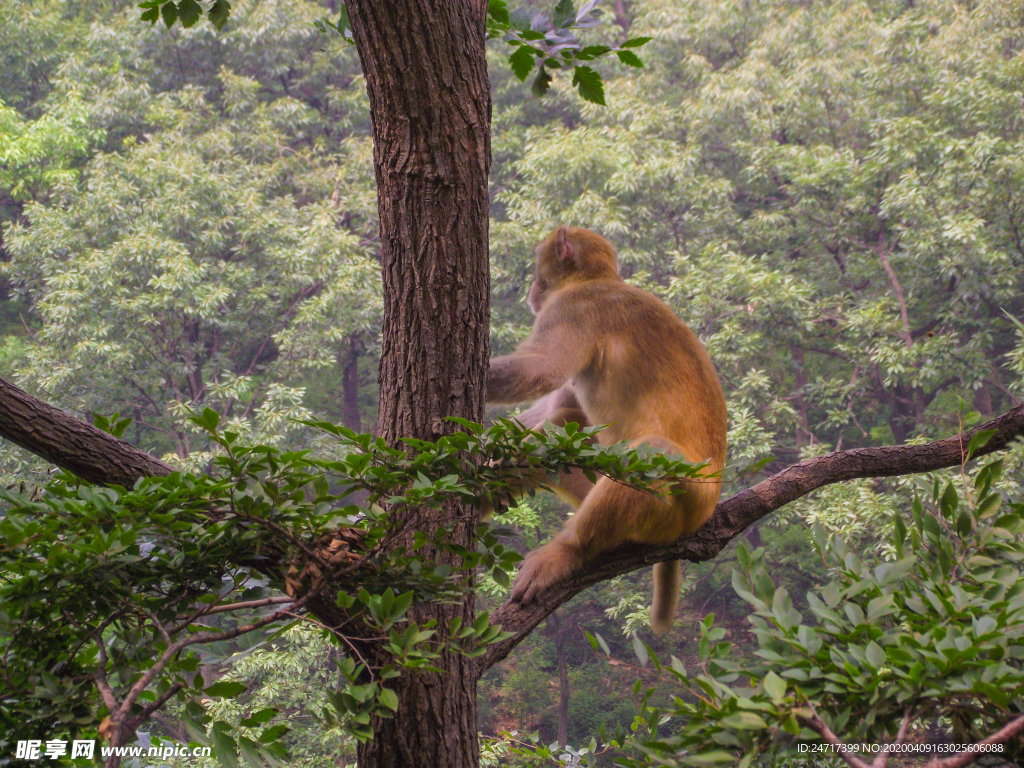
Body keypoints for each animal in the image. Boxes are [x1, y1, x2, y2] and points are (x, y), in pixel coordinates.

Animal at [487, 224, 729, 638]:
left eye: (539, 270)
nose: (532, 291)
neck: (595, 279)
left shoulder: (571, 311)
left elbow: (542, 369)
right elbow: (555, 402)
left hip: (680, 507)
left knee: (650, 450)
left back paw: (569, 551)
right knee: (564, 422)